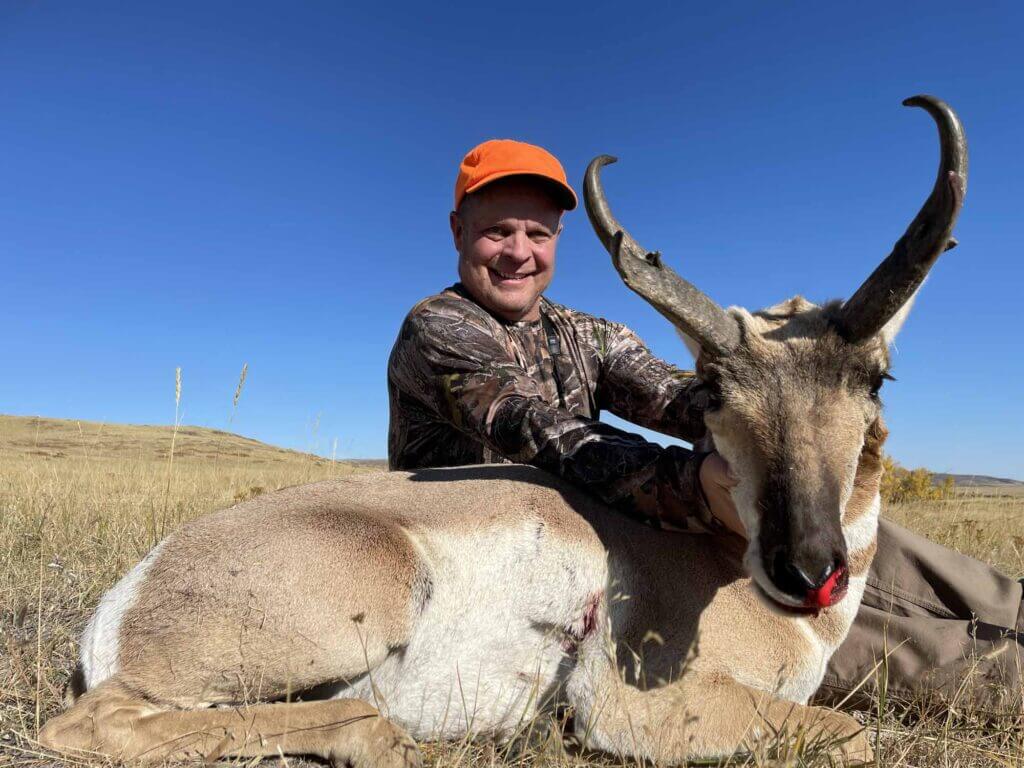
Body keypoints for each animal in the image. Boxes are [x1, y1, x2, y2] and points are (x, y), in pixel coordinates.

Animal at [39, 95, 966, 766]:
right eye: (711, 390)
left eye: (875, 379)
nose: (808, 567)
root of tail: (135, 588)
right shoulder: (644, 705)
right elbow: (856, 733)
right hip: (373, 593)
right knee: (94, 723)